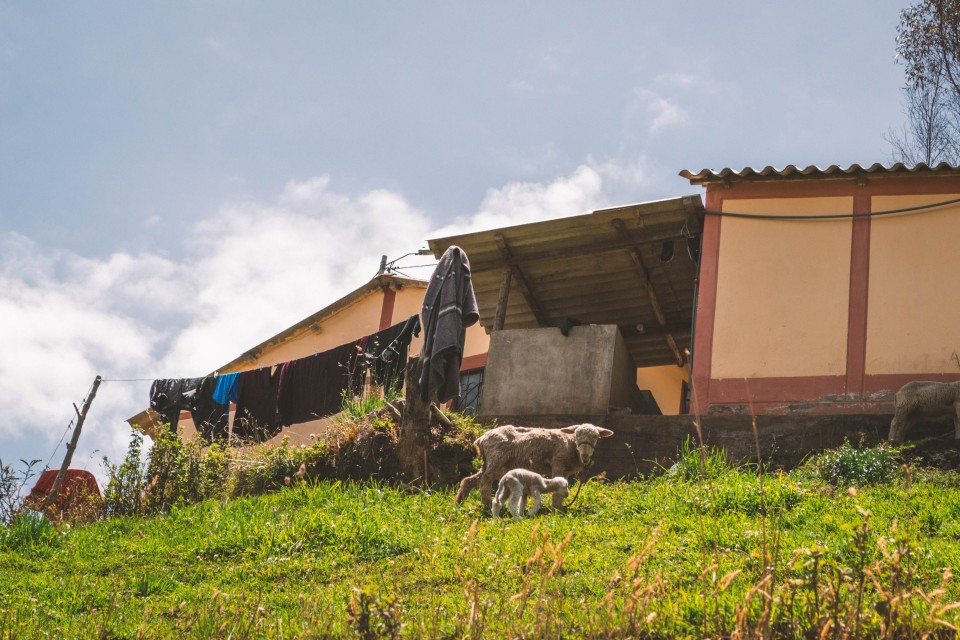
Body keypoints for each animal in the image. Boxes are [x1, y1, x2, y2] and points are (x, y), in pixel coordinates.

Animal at [454, 422, 612, 508]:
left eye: (595, 437)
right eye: (577, 435)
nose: (585, 456)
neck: (571, 444)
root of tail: (481, 438)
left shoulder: (565, 470)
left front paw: (559, 506)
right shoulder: (558, 462)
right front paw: (556, 508)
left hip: (491, 463)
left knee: (470, 480)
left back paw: (460, 501)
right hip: (496, 459)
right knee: (485, 480)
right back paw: (488, 502)